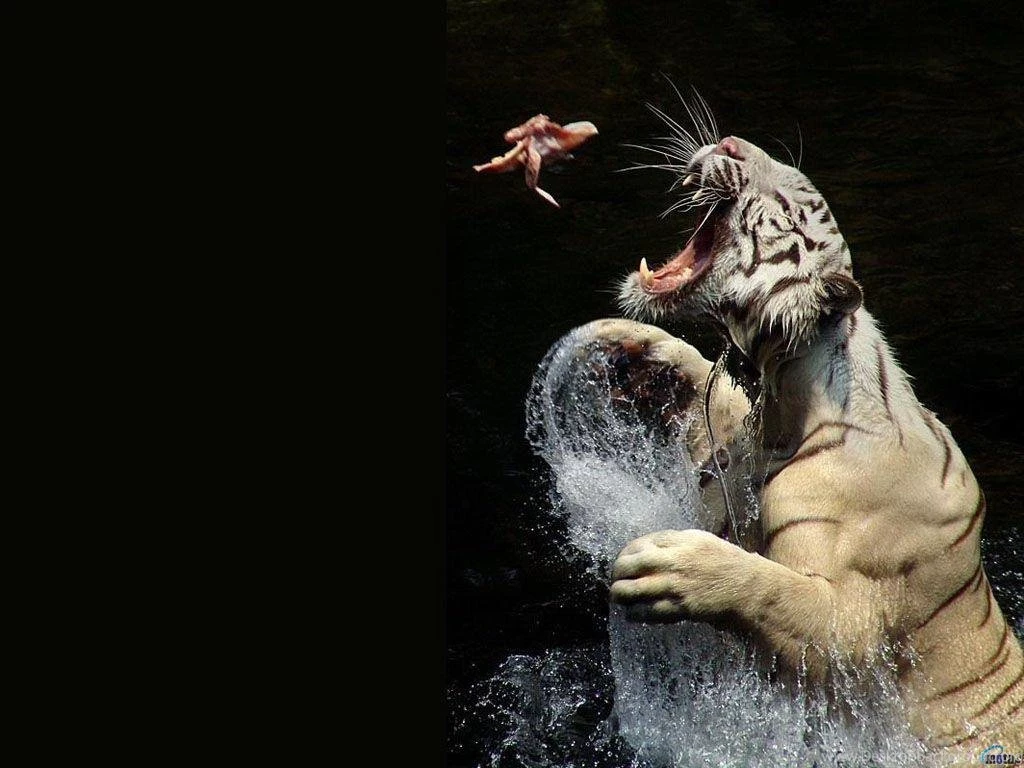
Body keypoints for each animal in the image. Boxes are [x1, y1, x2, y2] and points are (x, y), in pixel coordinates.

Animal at [569, 127, 1022, 759]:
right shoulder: (735, 451)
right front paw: (631, 345)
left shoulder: (858, 631)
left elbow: (779, 593)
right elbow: (710, 385)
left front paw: (669, 566)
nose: (730, 142)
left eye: (786, 200)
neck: (790, 402)